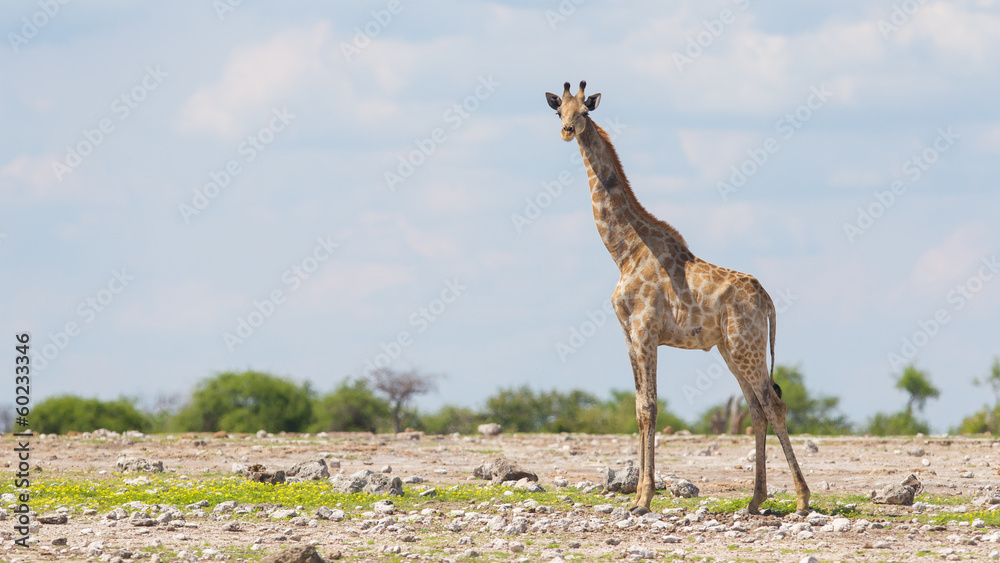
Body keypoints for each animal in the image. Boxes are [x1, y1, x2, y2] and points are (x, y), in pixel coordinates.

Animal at [544, 81, 810, 516]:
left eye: (583, 112)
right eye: (558, 111)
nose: (567, 131)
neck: (624, 251)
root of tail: (768, 301)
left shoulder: (646, 331)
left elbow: (650, 407)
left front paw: (644, 498)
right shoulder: (628, 336)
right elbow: (638, 407)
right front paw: (637, 495)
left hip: (747, 345)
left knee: (773, 404)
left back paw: (803, 499)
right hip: (730, 349)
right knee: (756, 408)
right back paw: (754, 500)